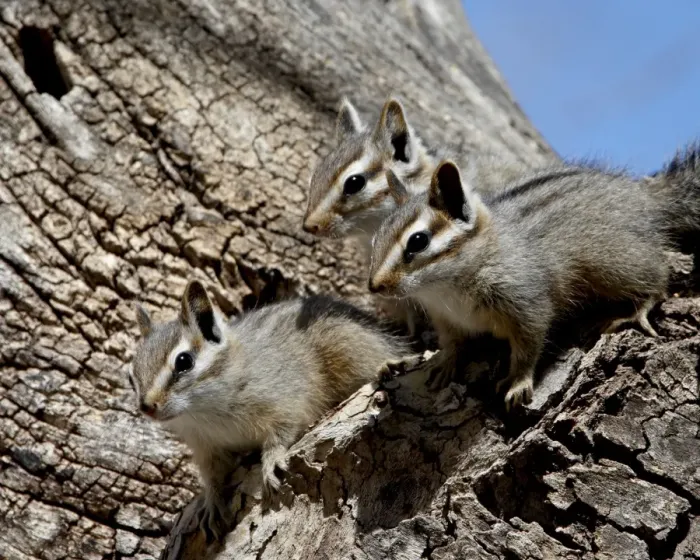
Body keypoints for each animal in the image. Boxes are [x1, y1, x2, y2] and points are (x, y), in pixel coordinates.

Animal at [129, 280, 409, 540]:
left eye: (184, 361)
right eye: (132, 375)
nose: (147, 407)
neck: (204, 413)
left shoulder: (286, 400)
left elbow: (281, 433)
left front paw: (271, 460)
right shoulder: (207, 447)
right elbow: (213, 475)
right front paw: (212, 500)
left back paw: (385, 365)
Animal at [368, 146, 700, 409]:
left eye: (418, 241)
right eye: (376, 237)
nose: (374, 286)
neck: (445, 288)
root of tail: (644, 196)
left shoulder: (526, 304)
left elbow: (528, 346)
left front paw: (518, 381)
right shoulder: (445, 318)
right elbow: (452, 342)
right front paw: (443, 361)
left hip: (614, 264)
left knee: (658, 274)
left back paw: (638, 309)